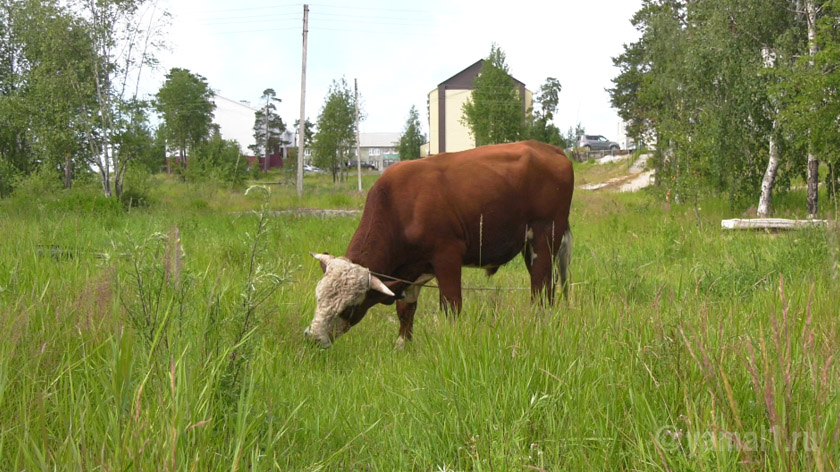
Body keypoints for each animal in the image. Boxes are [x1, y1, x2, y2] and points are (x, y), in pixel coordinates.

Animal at [306, 139, 576, 346]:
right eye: (318, 297)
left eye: (348, 307)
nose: (313, 338)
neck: (400, 206)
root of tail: (551, 149)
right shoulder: (409, 271)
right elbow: (405, 310)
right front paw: (402, 346)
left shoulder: (447, 257)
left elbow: (451, 306)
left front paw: (451, 343)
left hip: (544, 238)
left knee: (540, 289)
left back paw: (538, 326)